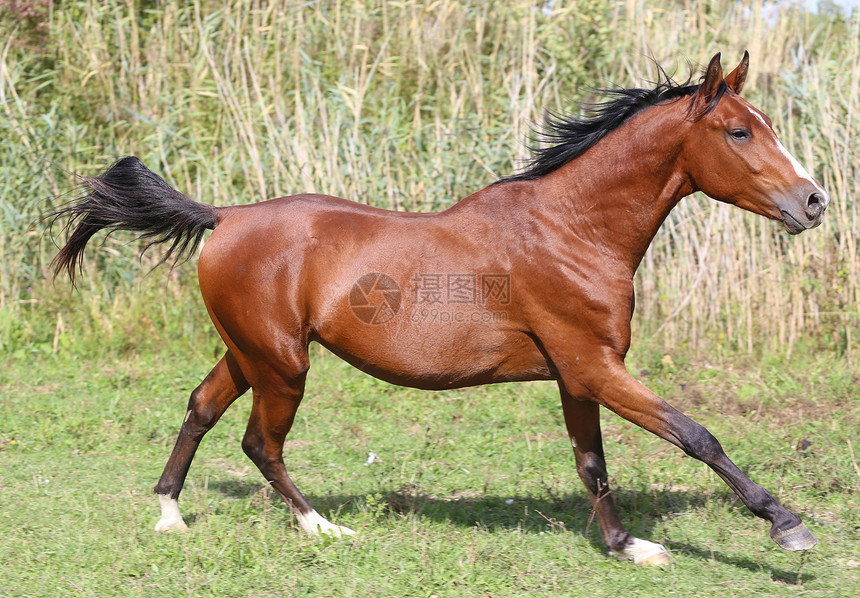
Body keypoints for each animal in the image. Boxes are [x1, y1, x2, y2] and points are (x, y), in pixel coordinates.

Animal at [48, 52, 828, 568]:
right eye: (739, 132)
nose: (814, 201)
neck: (572, 229)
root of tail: (224, 217)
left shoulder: (579, 373)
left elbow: (593, 462)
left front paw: (626, 544)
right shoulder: (593, 365)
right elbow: (696, 435)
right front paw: (787, 525)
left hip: (250, 354)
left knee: (201, 408)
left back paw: (170, 515)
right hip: (282, 363)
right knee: (260, 443)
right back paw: (323, 530)